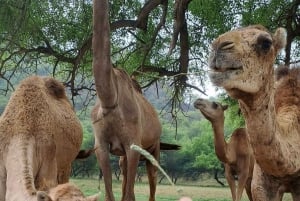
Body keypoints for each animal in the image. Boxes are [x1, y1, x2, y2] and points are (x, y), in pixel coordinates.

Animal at [91, 0, 163, 201]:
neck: (110, 99)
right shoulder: (100, 145)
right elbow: (110, 194)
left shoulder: (134, 145)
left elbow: (130, 195)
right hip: (124, 155)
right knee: (124, 174)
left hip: (154, 146)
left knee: (152, 175)